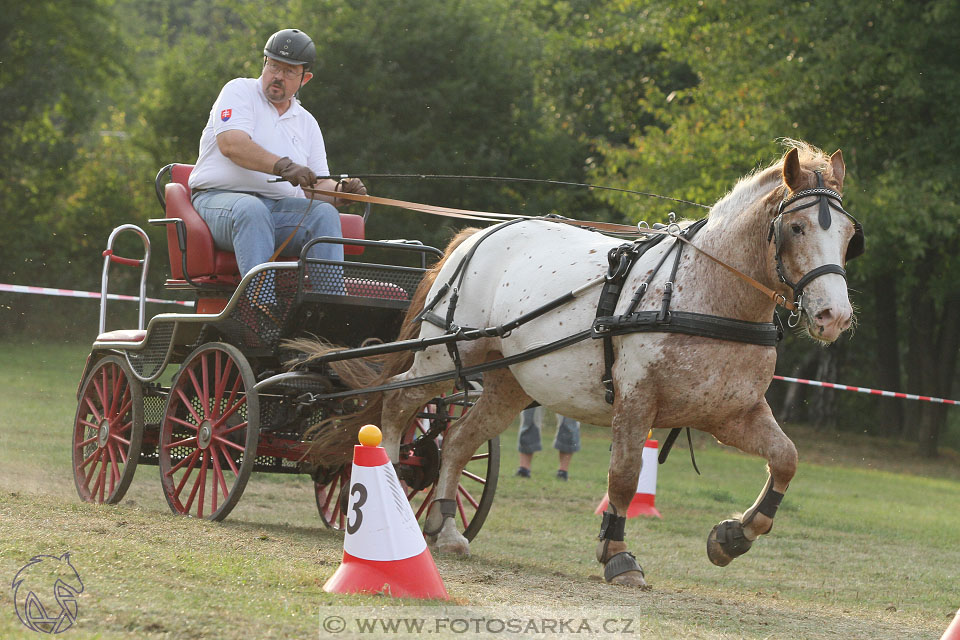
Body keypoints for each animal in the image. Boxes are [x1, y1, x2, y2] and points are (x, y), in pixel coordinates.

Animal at [300, 138, 864, 588]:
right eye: (796, 227)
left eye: (848, 235)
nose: (833, 315)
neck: (706, 291)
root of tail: (478, 236)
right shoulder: (636, 400)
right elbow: (624, 476)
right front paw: (618, 556)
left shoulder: (731, 413)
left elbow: (786, 458)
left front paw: (733, 536)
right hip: (442, 354)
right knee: (398, 404)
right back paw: (393, 497)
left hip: (509, 383)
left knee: (458, 440)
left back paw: (447, 528)